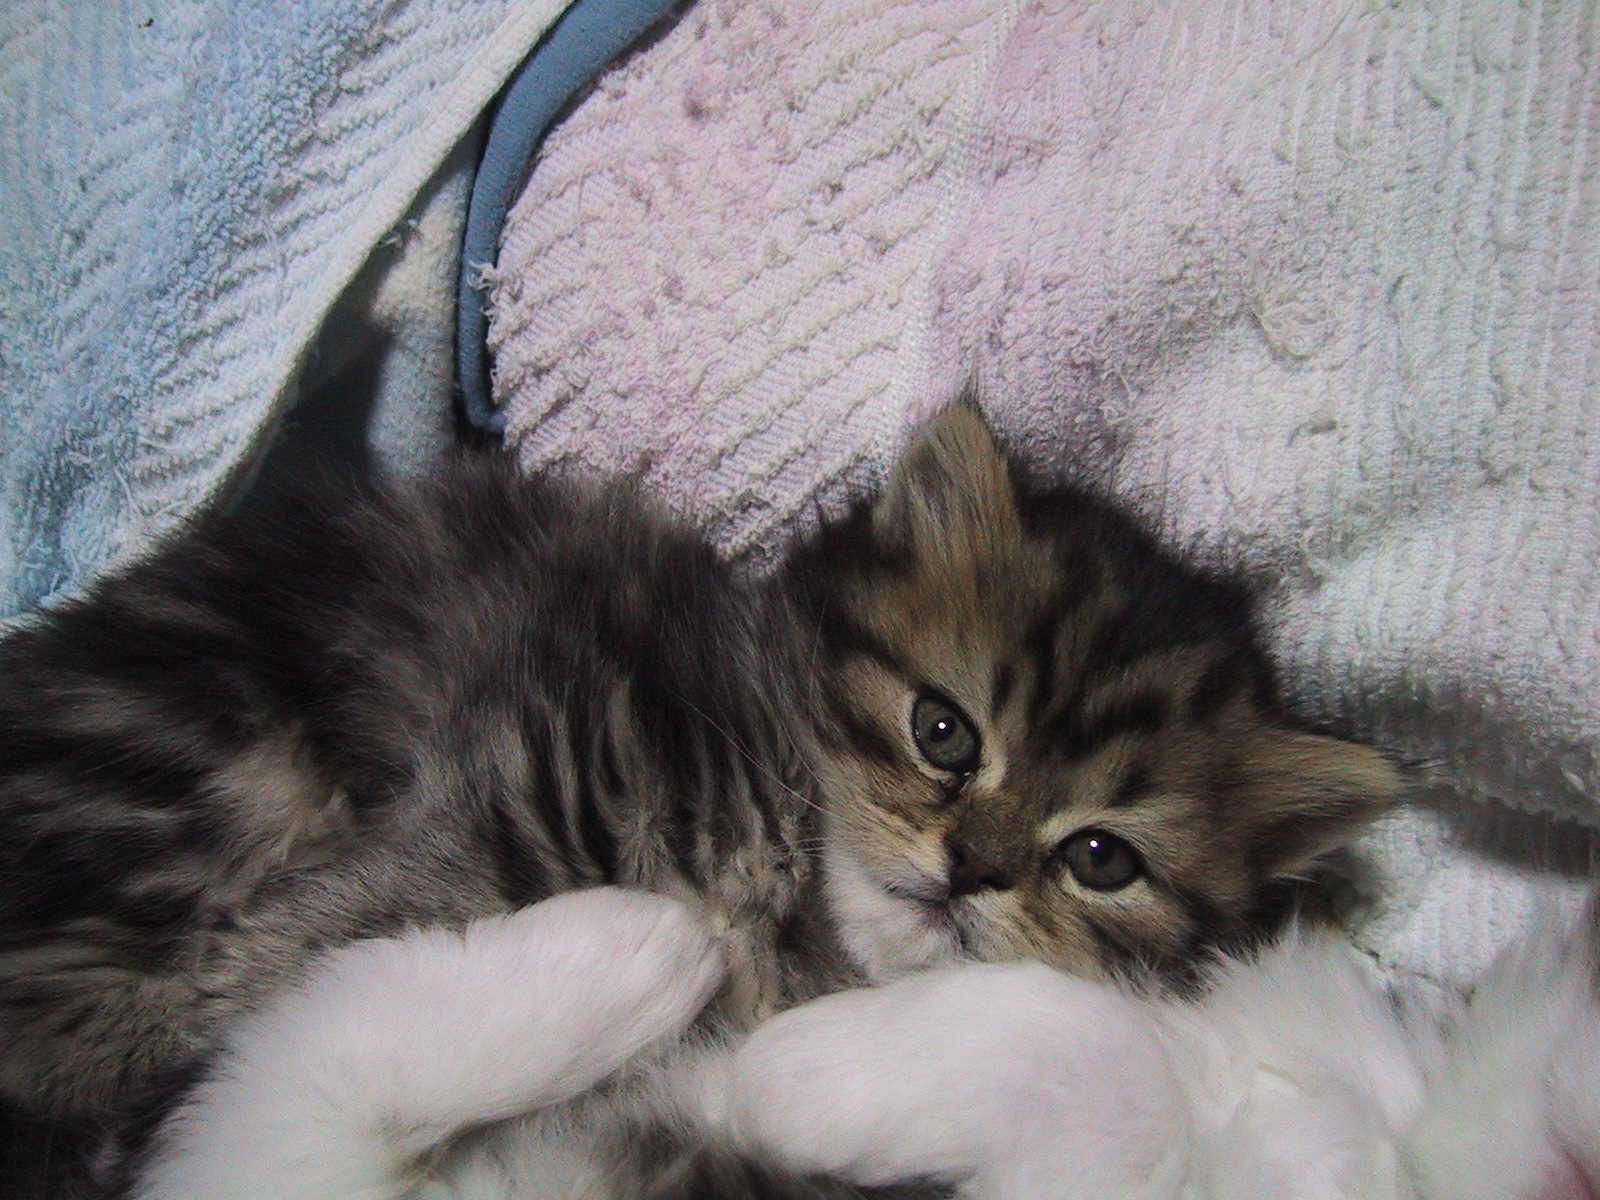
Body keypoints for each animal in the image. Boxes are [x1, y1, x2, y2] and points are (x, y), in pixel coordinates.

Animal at [0, 402, 1399, 1196]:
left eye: (1100, 859)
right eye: (943, 732)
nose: (973, 868)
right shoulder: (519, 771)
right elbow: (287, 952)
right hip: (211, 759)